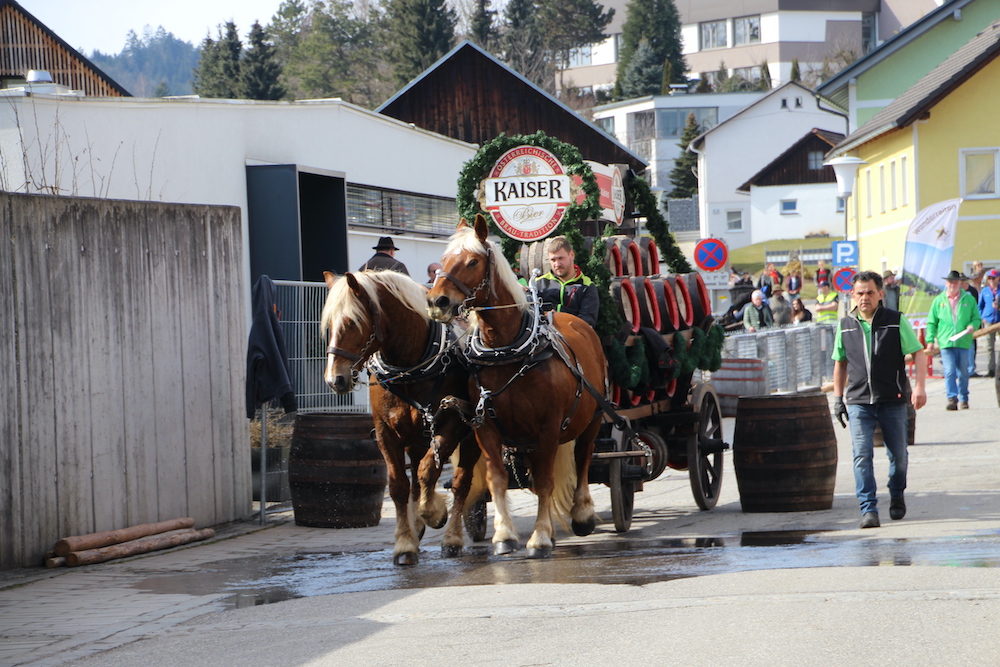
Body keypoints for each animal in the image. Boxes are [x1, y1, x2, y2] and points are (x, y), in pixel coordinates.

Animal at [321, 269, 483, 565]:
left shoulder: (450, 424)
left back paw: (451, 537)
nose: (334, 379)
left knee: (460, 482)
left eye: (352, 322)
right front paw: (405, 542)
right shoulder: (386, 432)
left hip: (471, 435)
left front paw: (435, 512)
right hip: (415, 439)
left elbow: (430, 471)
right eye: (329, 324)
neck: (409, 368)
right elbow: (399, 485)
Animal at [426, 214, 608, 558]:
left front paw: (540, 537)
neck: (506, 350)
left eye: (472, 261)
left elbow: (548, 480)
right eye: (443, 260)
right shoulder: (486, 427)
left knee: (584, 458)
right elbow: (497, 478)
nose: (436, 301)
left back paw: (581, 514)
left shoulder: (548, 426)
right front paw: (504, 535)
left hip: (593, 418)